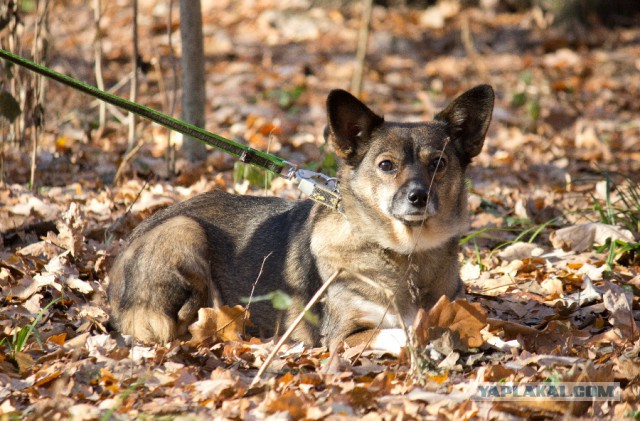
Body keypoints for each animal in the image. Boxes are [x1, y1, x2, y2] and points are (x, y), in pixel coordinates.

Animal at [107, 86, 496, 354]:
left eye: (439, 164)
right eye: (386, 165)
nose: (419, 197)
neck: (406, 254)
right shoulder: (344, 335)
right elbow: (404, 332)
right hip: (184, 229)